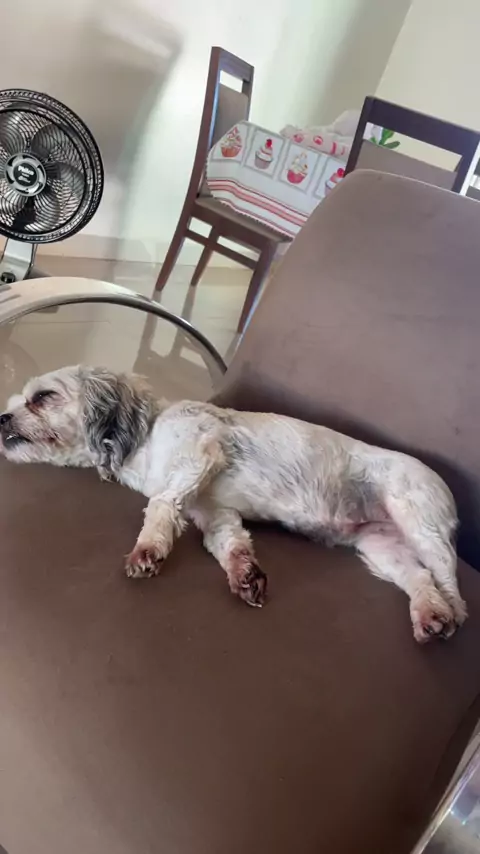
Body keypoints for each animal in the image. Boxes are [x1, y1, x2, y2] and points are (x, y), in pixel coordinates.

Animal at [0, 365, 467, 642]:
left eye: (42, 397)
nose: (2, 417)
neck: (146, 440)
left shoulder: (197, 456)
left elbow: (160, 506)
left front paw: (148, 549)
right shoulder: (211, 511)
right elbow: (230, 543)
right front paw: (244, 573)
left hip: (418, 519)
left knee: (449, 584)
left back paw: (451, 613)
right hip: (382, 548)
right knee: (419, 579)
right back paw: (429, 614)